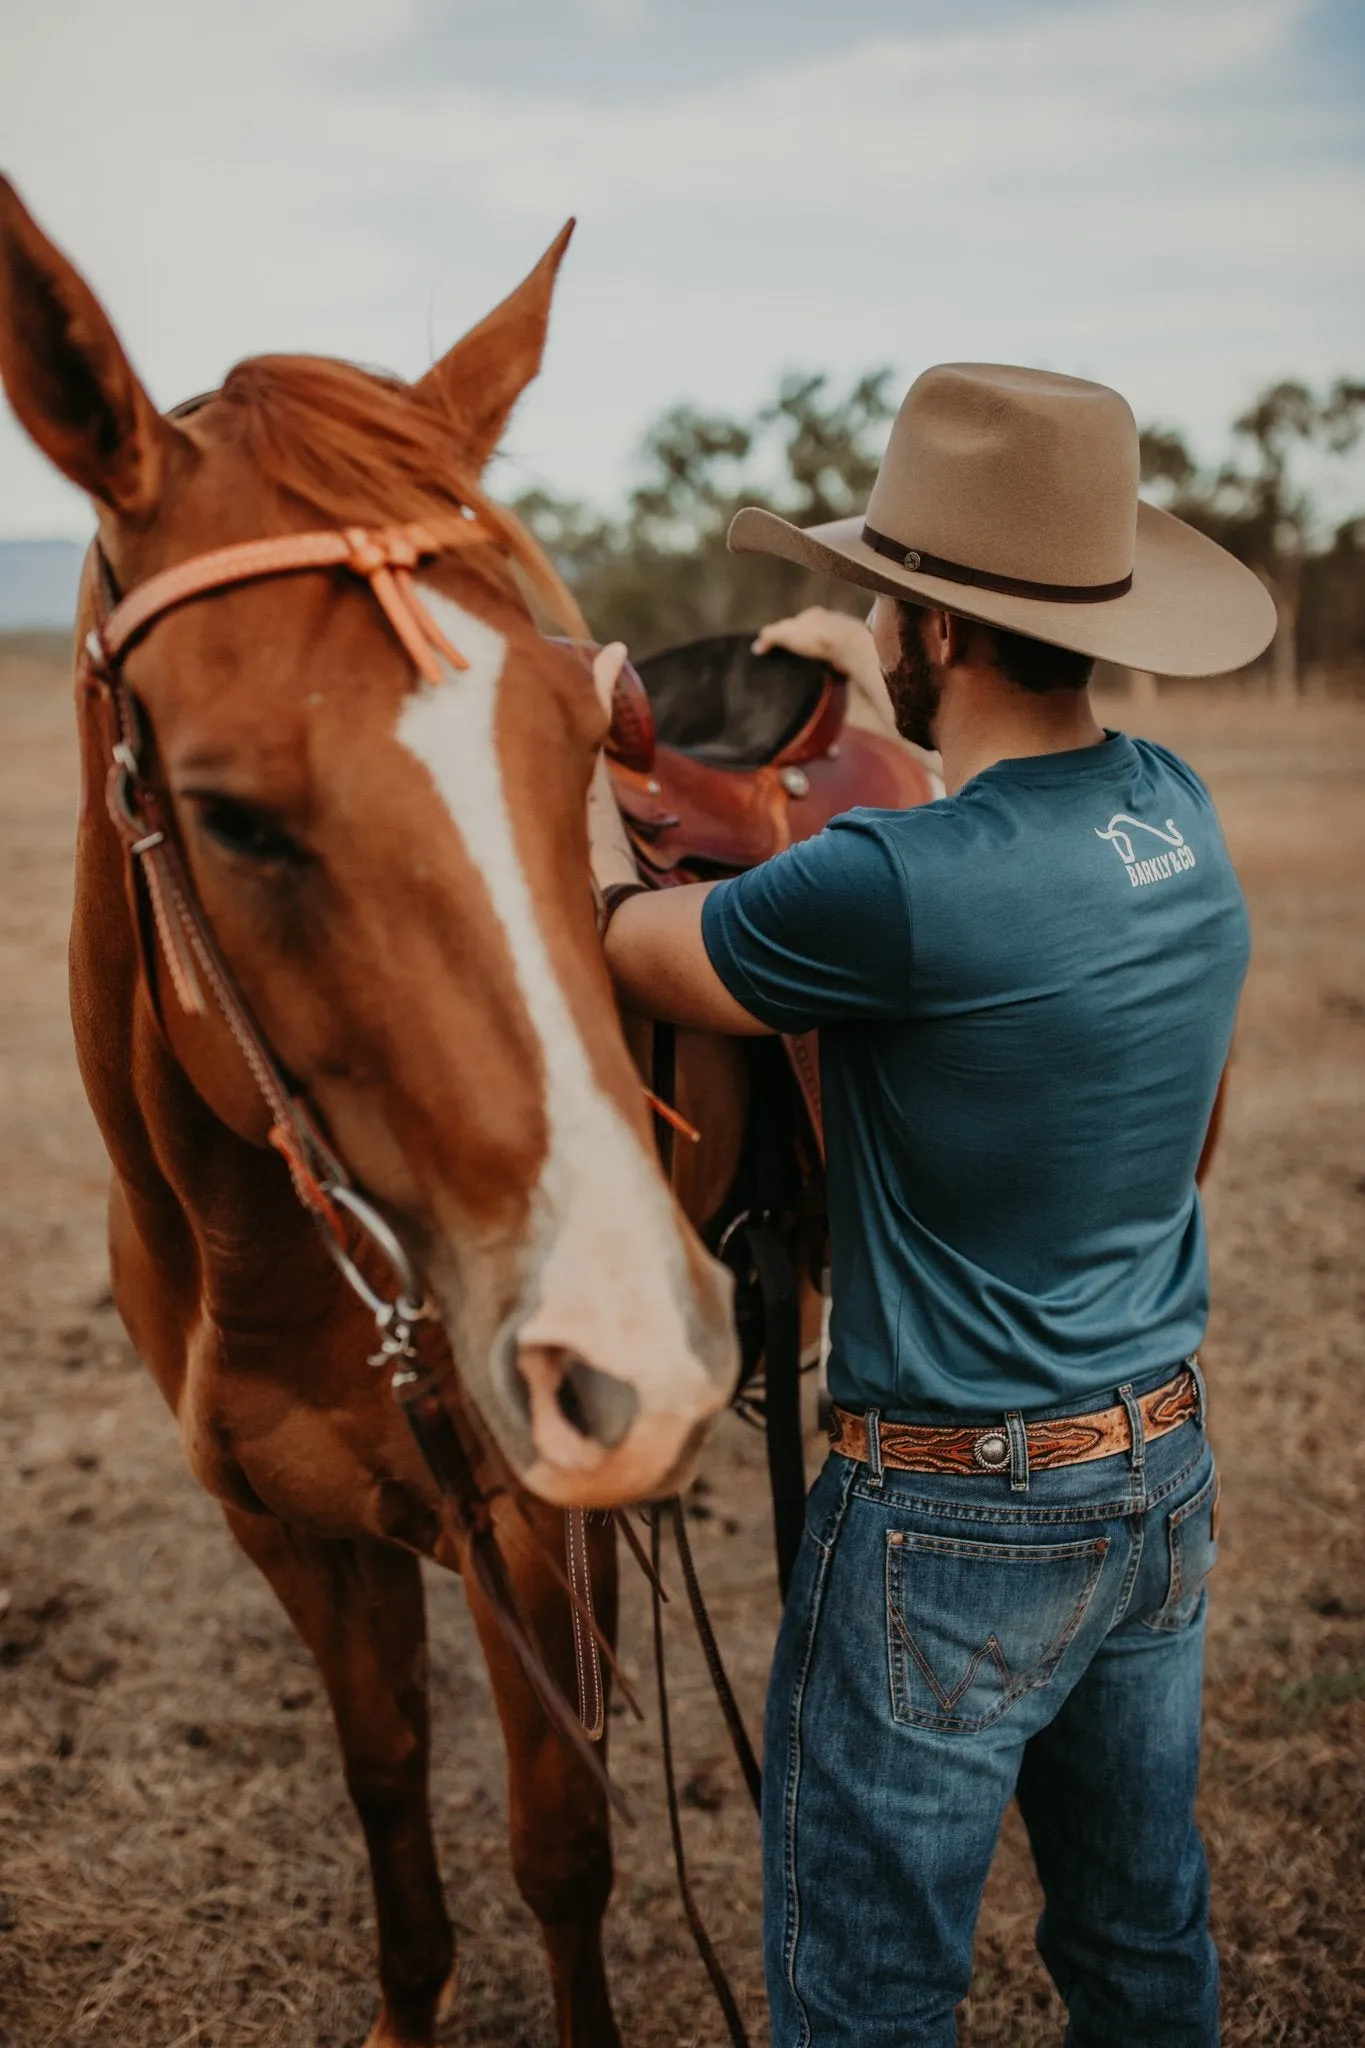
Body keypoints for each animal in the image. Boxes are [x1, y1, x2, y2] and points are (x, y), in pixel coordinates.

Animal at [0, 176, 753, 2048]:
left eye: (579, 738)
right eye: (229, 815)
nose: (624, 1340)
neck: (271, 1256)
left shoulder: (535, 1532)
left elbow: (560, 1849)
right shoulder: (291, 1535)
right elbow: (388, 1786)